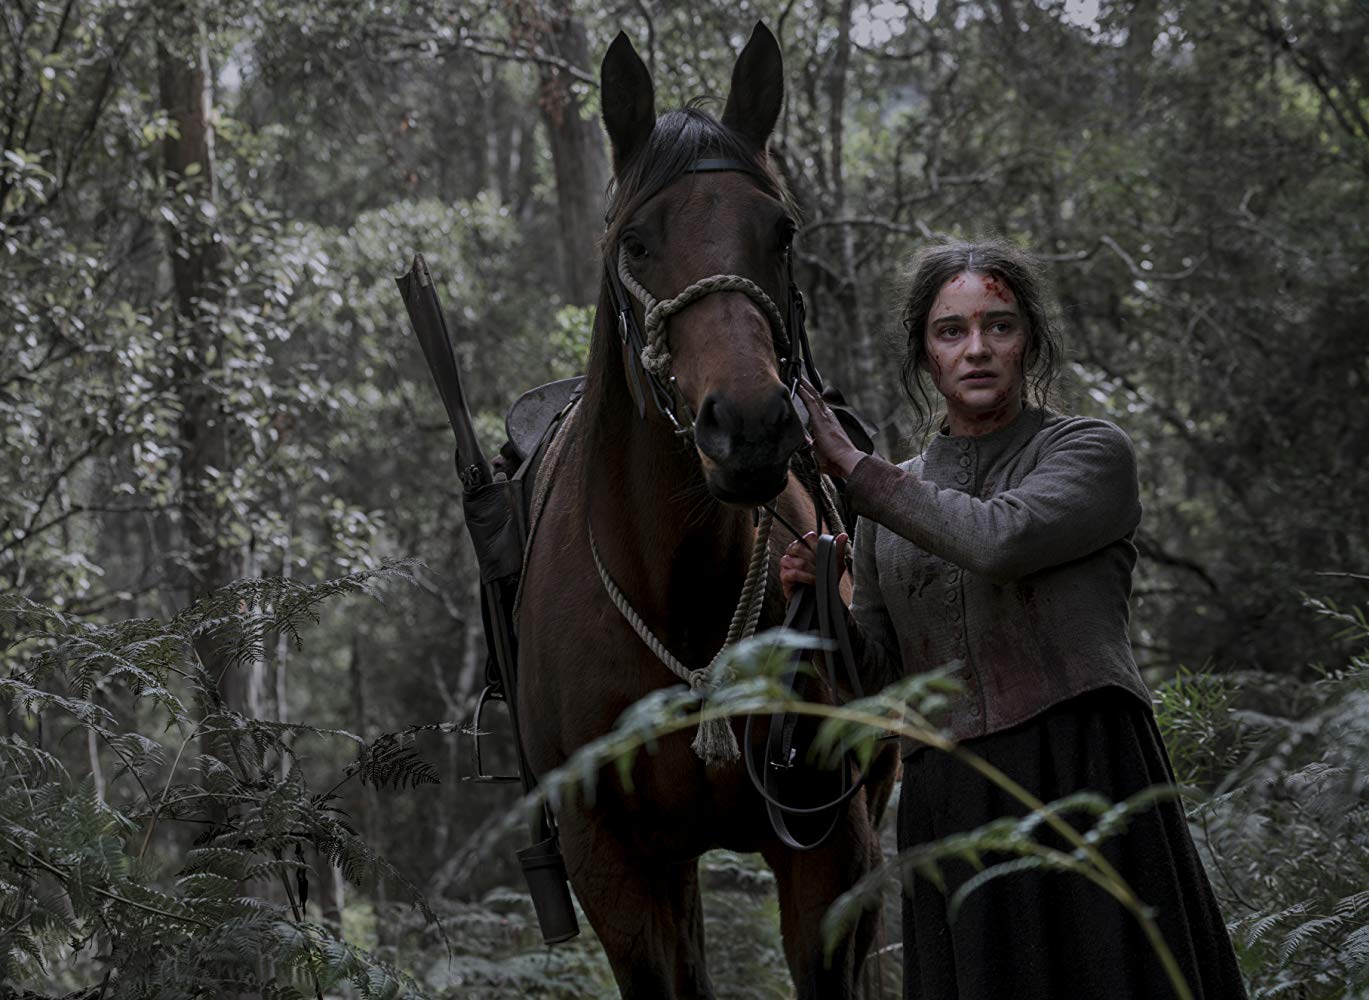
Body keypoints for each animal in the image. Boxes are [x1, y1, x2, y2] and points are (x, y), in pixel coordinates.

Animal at [517, 23, 892, 997]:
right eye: (636, 241)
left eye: (781, 231)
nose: (751, 425)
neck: (672, 588)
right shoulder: (611, 862)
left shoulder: (826, 847)